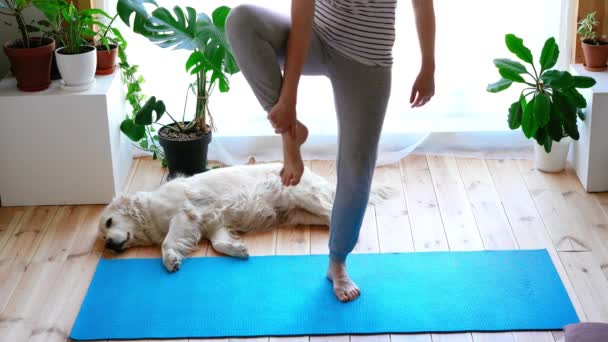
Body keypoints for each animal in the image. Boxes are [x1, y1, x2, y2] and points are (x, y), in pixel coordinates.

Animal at [97, 164, 388, 272]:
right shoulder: (213, 224)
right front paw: (238, 250)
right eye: (102, 236)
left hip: (304, 196)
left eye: (110, 223)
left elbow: (168, 242)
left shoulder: (184, 214)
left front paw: (170, 260)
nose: (109, 244)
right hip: (300, 214)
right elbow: (218, 244)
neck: (149, 211)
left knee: (335, 213)